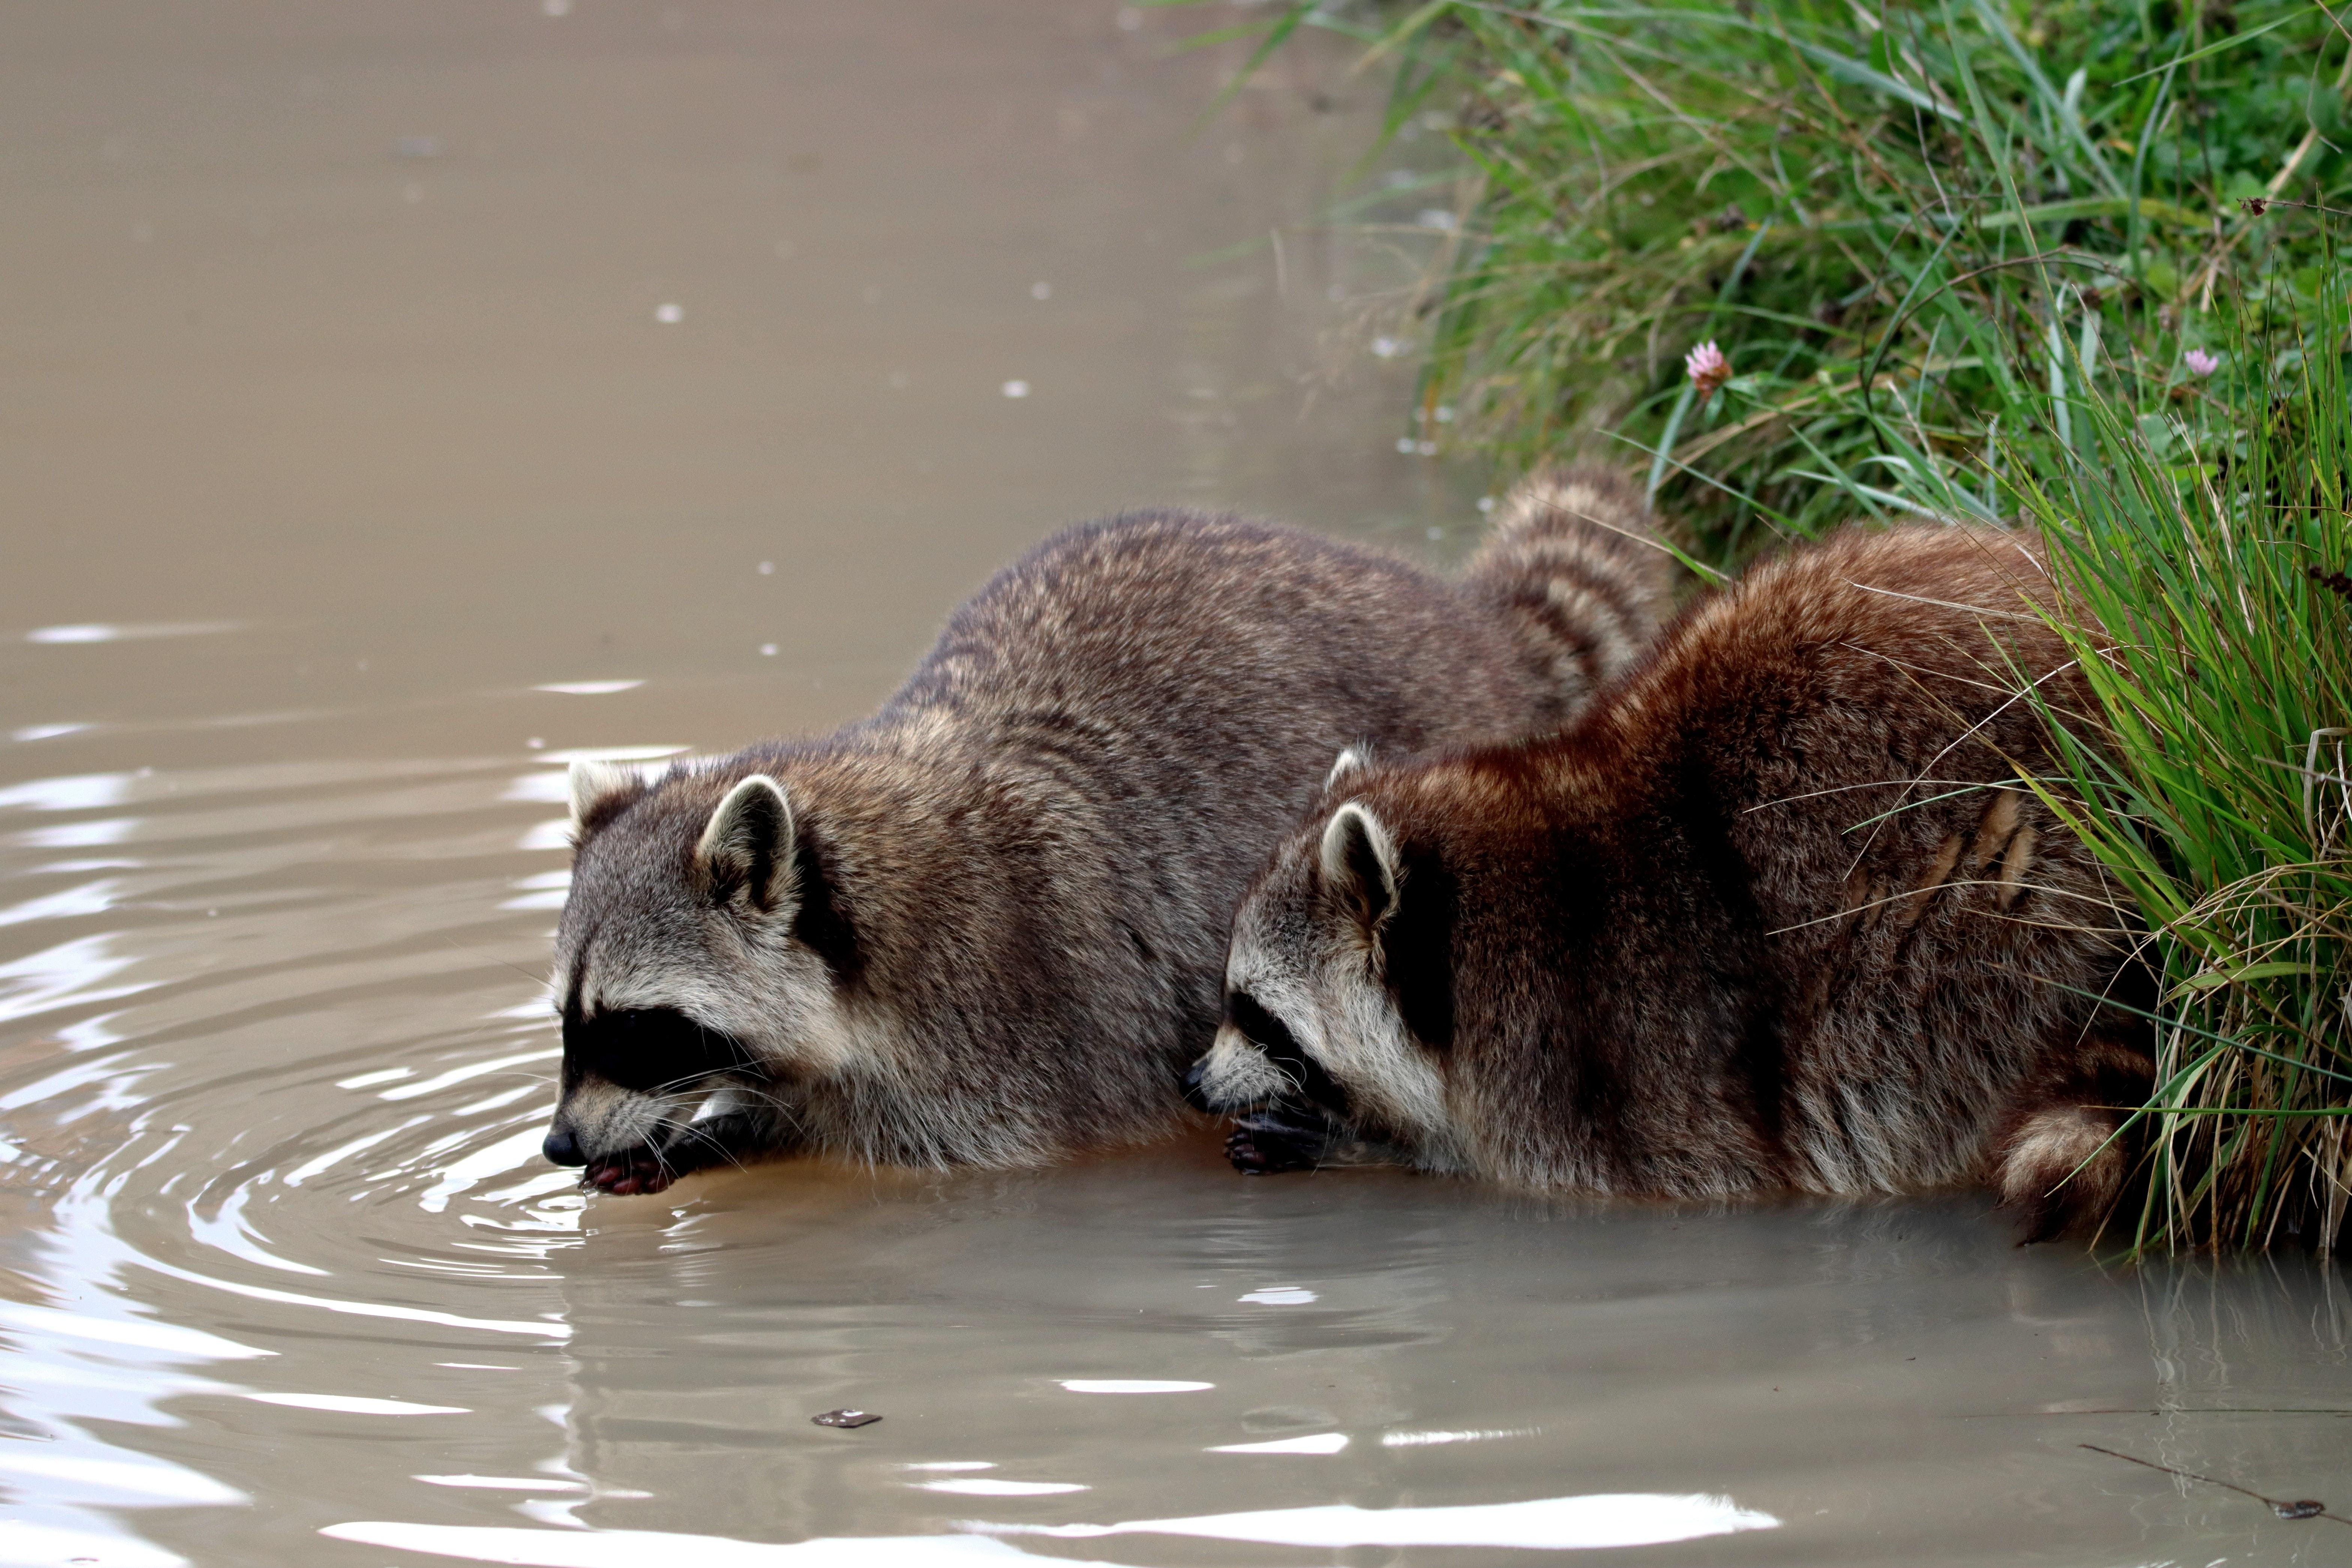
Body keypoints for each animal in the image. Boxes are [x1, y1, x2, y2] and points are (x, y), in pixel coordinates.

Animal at [538, 463, 1675, 1190]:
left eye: (635, 1026)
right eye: (566, 1020)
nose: (557, 1145)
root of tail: (1467, 628)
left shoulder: (1006, 1037)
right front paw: (710, 1132)